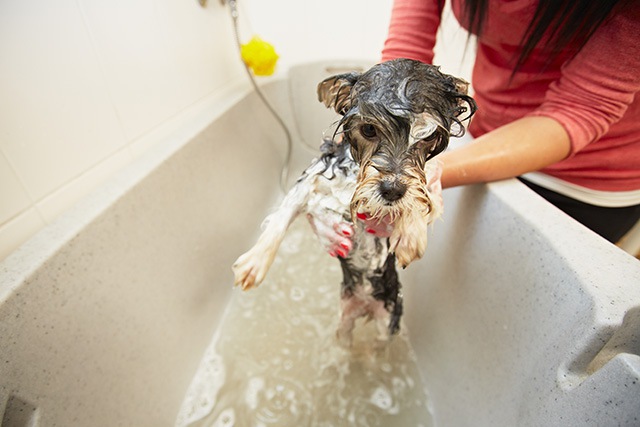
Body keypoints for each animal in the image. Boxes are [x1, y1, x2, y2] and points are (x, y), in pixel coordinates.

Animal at [231, 58, 476, 348]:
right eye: (368, 129)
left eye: (428, 136)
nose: (392, 190)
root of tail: (364, 305)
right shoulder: (313, 177)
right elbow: (282, 217)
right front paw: (254, 263)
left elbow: (421, 194)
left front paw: (410, 235)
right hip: (345, 321)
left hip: (387, 319)